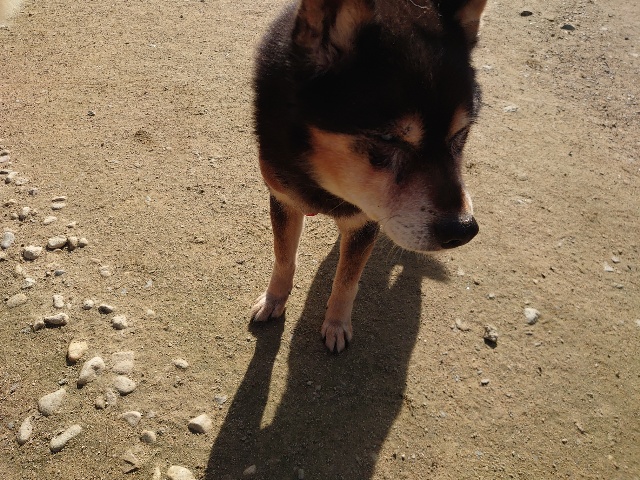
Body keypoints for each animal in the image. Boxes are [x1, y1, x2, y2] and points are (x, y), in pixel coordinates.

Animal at [249, 0, 487, 352]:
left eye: (461, 134)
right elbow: (283, 257)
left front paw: (336, 324)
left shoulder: (363, 223)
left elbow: (346, 281)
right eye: (388, 139)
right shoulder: (283, 199)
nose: (462, 230)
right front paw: (274, 299)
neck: (328, 185)